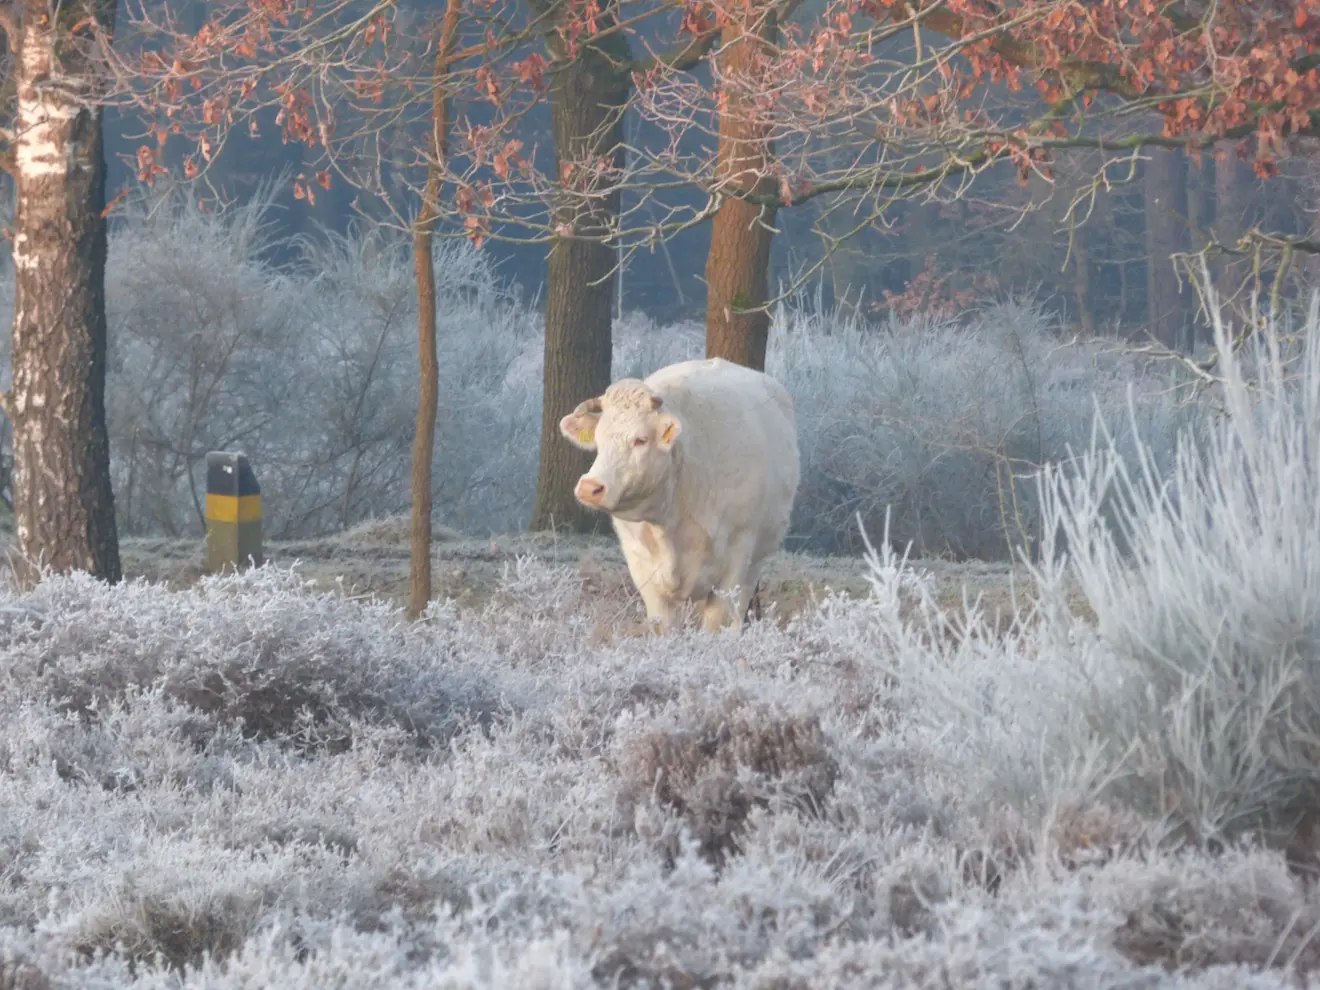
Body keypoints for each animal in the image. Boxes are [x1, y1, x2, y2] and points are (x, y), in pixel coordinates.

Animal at [554, 359, 792, 636]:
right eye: (599, 440)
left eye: (640, 440)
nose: (590, 487)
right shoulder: (643, 570)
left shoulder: (736, 560)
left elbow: (715, 627)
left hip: (754, 564)